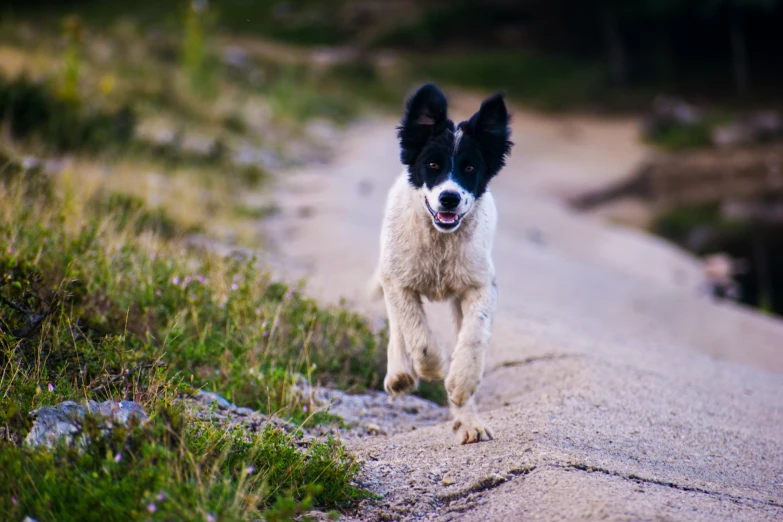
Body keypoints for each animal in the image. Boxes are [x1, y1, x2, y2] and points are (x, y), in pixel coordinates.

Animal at [372, 83, 516, 440]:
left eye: (470, 168)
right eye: (433, 165)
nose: (449, 198)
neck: (440, 243)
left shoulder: (481, 285)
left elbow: (474, 334)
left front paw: (461, 384)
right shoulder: (398, 281)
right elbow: (415, 331)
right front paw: (432, 367)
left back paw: (469, 422)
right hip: (389, 269)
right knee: (398, 326)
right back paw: (400, 373)